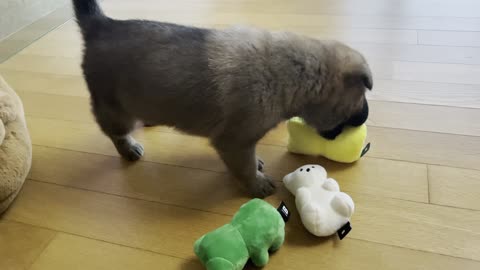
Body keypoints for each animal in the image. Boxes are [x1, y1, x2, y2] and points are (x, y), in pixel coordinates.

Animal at [71, 0, 374, 198]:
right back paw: (129, 148)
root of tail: (101, 25)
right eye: (361, 98)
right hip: (114, 109)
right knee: (117, 134)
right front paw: (256, 184)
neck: (294, 73)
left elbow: (249, 161)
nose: (365, 117)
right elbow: (245, 168)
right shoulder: (234, 143)